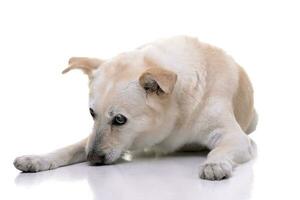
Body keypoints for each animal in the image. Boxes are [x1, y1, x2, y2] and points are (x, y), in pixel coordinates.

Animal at [14, 35, 256, 180]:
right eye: (92, 113)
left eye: (120, 119)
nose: (92, 159)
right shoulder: (92, 138)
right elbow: (68, 148)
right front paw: (37, 159)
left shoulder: (235, 136)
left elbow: (220, 149)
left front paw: (215, 163)